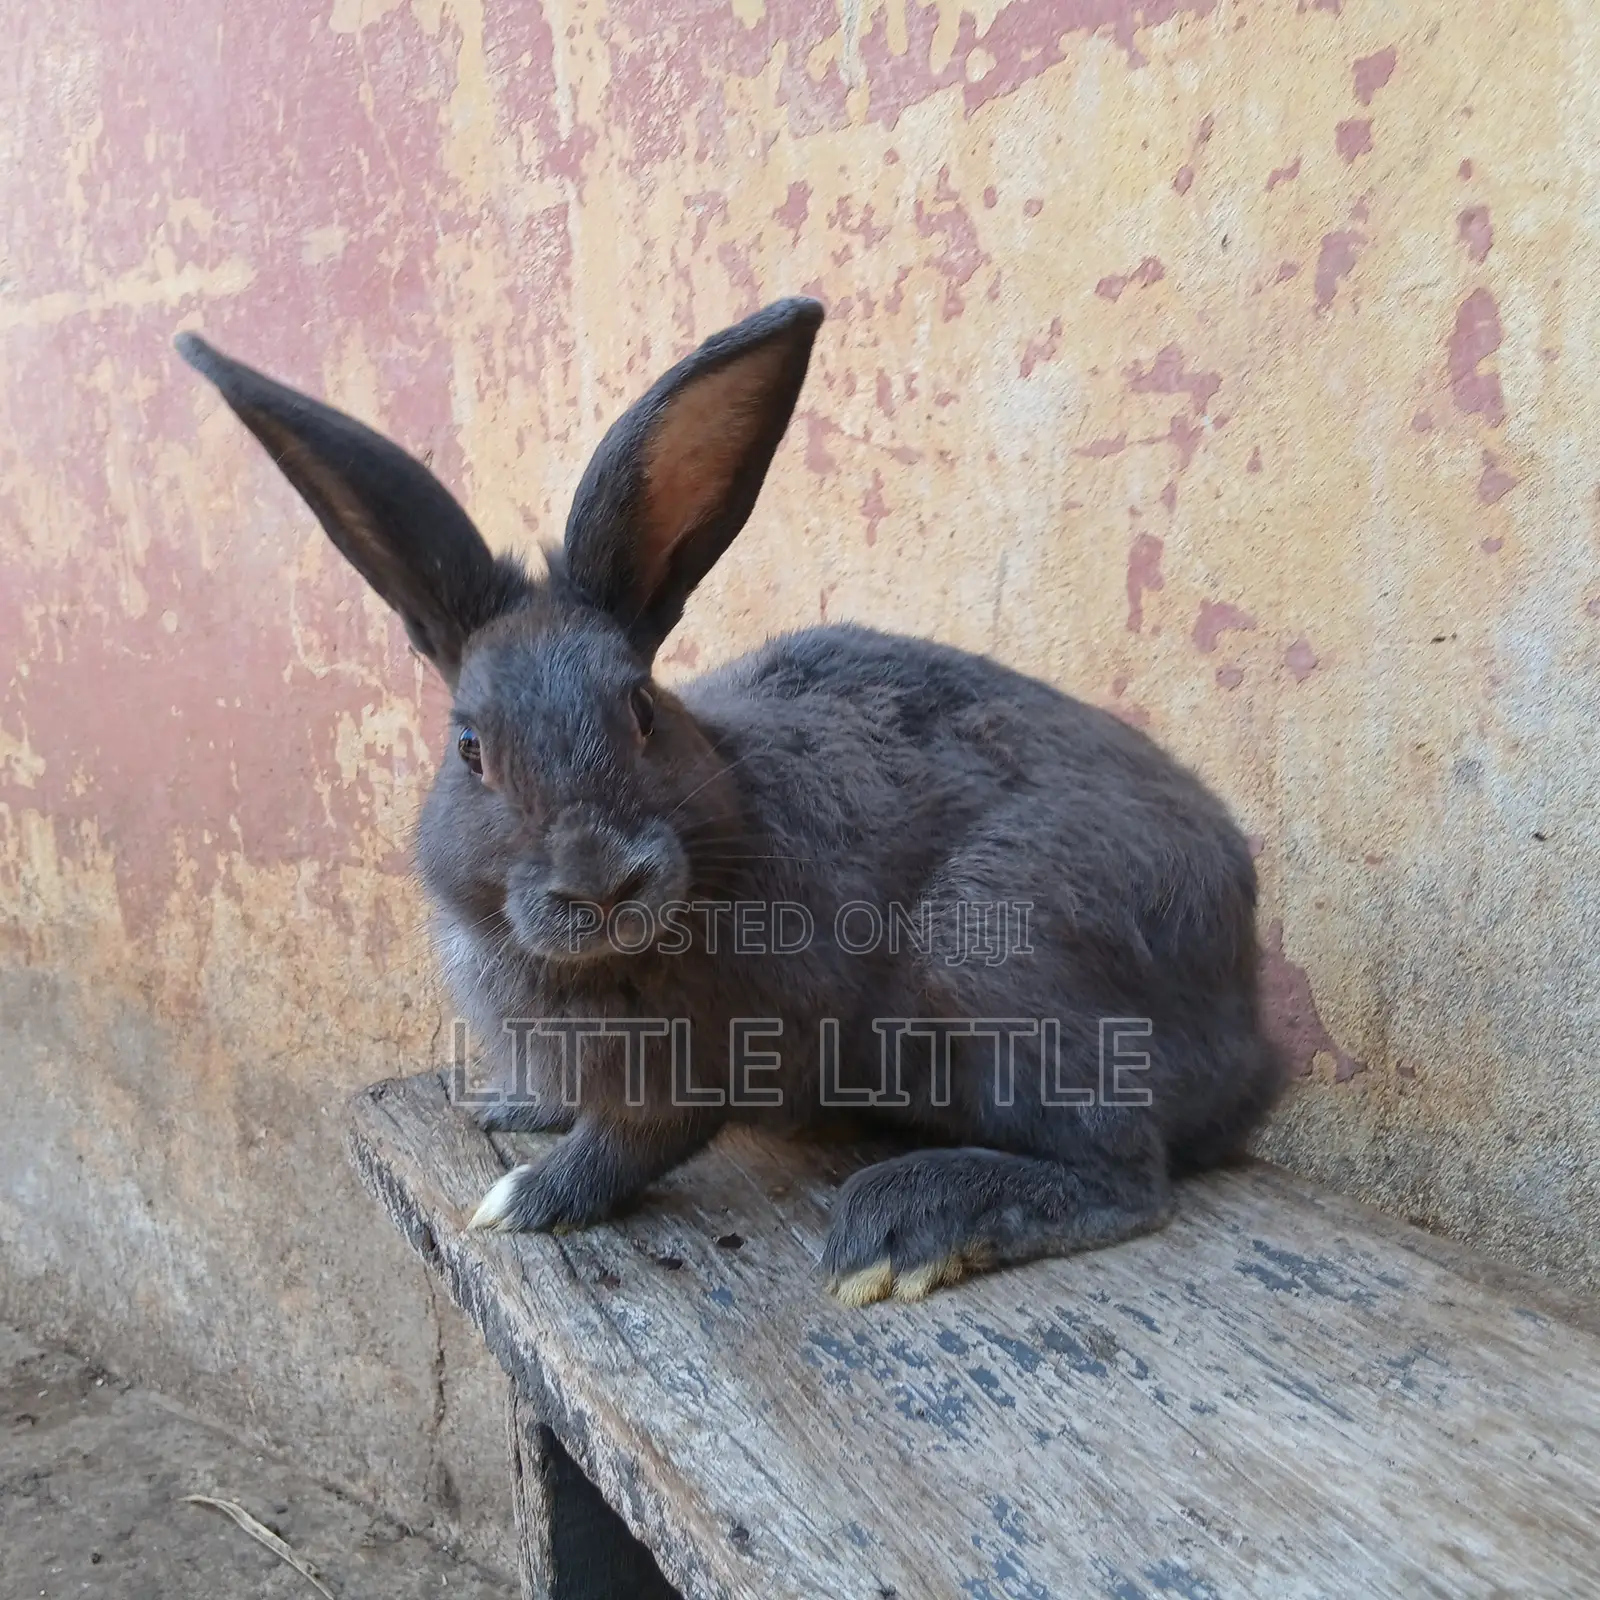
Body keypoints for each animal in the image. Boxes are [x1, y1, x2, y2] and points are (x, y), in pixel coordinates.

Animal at [176, 297, 1286, 1306]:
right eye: (470, 749)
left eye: (640, 708)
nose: (601, 882)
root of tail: (1251, 1048)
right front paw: (513, 1109)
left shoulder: (712, 1057)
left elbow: (636, 1141)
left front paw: (528, 1197)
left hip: (995, 961)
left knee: (1125, 1173)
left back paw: (911, 1225)